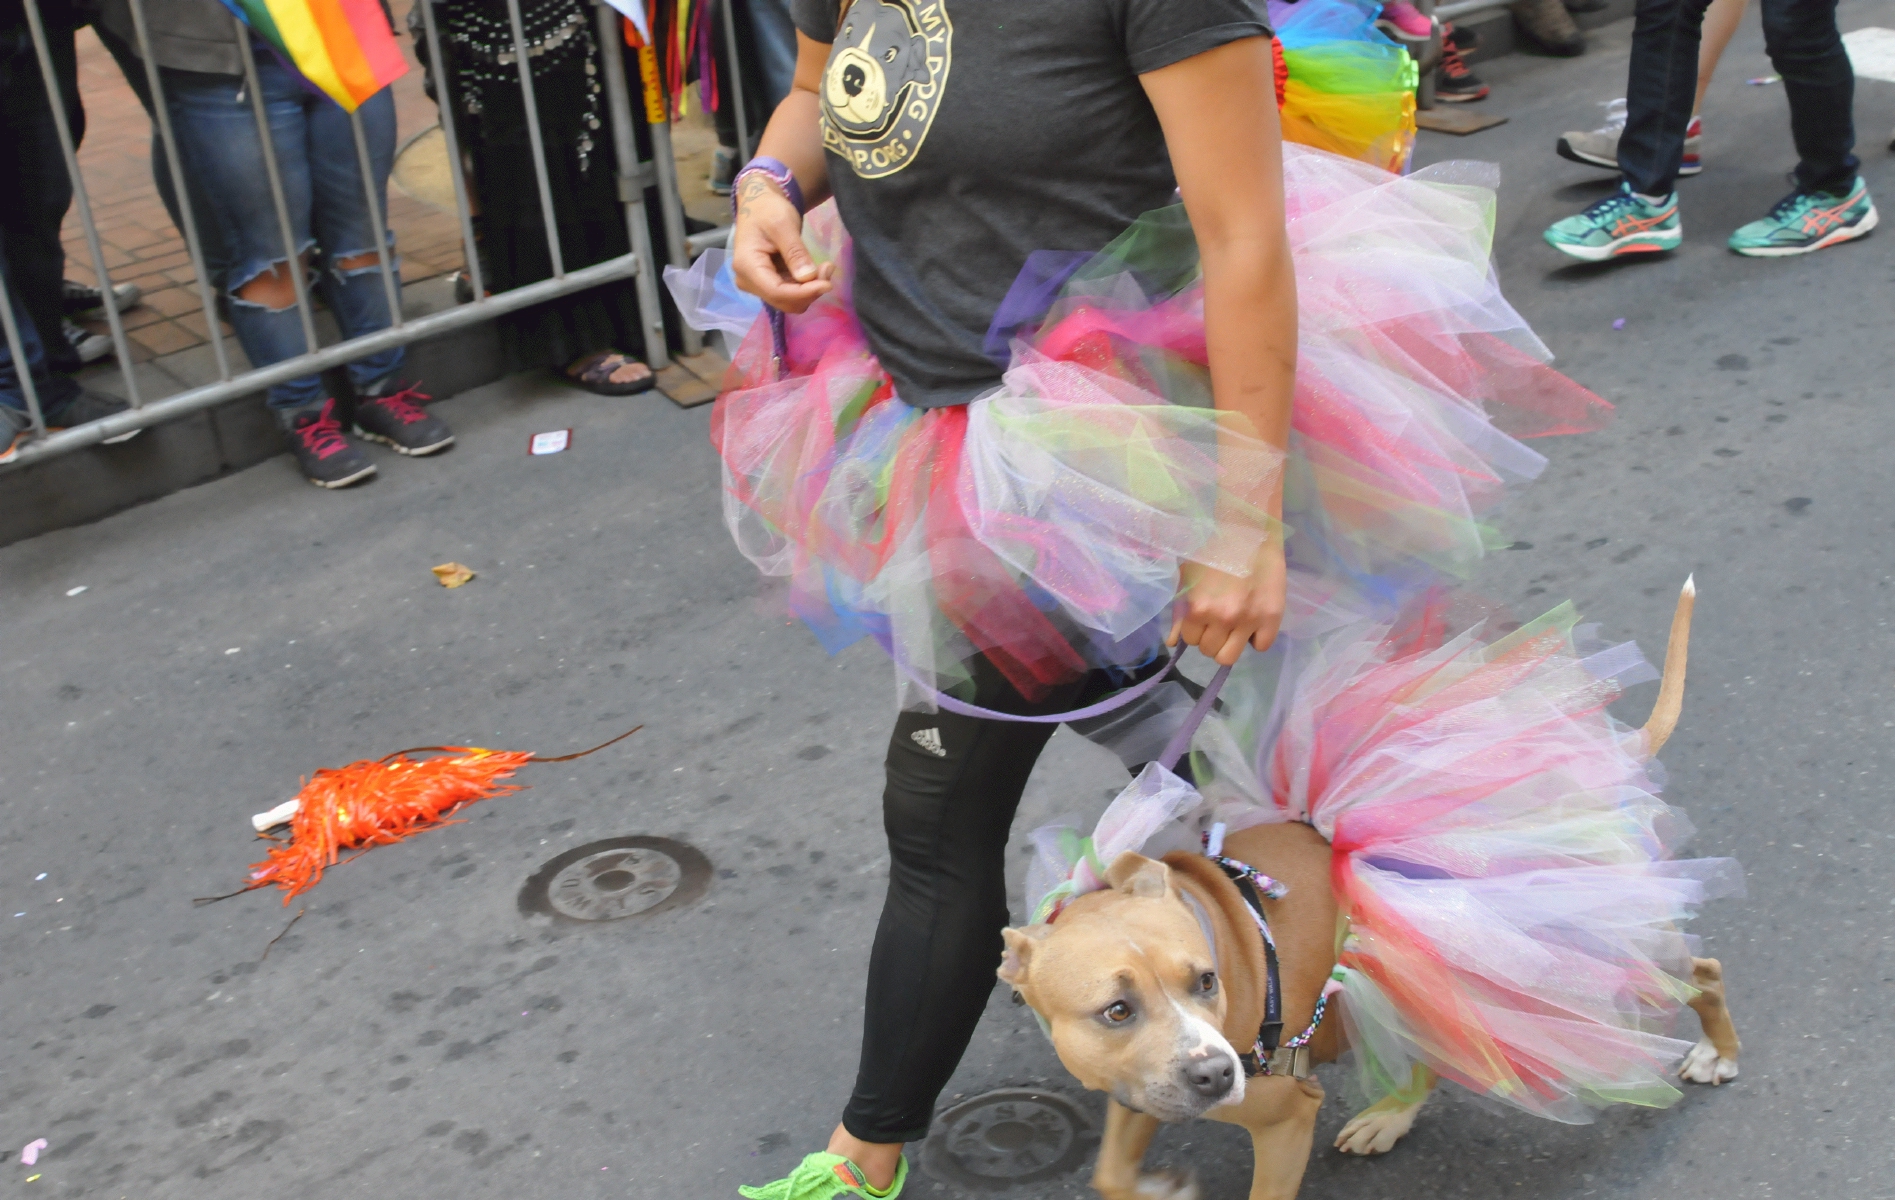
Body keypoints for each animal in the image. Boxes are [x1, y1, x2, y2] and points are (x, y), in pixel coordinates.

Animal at [1000, 580, 1735, 1198]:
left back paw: (1715, 1053)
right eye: (1115, 1011)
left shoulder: (1284, 1119)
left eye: (1207, 980)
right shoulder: (1133, 1092)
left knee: (1699, 971)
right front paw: (1160, 1187)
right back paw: (1392, 1114)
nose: (1215, 1074)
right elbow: (1110, 1173)